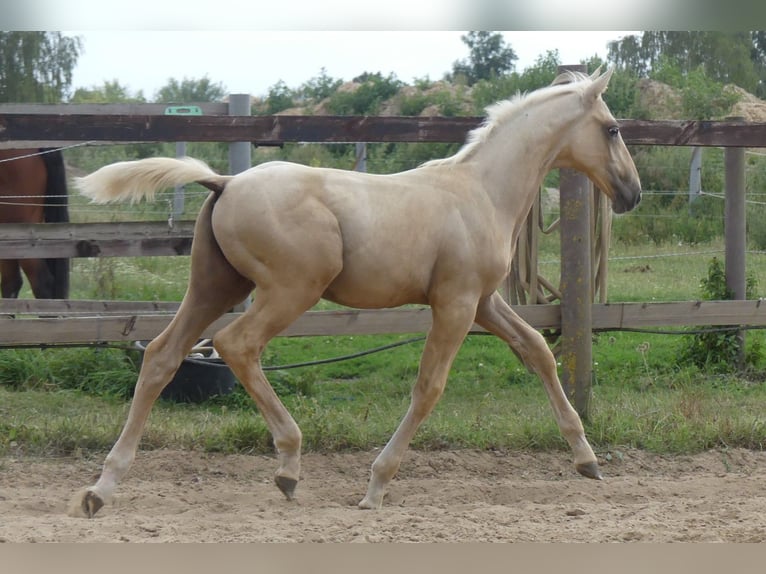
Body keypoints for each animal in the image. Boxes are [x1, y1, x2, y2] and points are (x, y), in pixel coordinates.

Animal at [69, 66, 640, 516]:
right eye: (612, 129)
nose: (632, 193)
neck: (480, 192)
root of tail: (225, 183)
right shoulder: (454, 304)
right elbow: (428, 388)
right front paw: (376, 486)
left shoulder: (484, 301)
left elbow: (538, 349)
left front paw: (587, 460)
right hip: (291, 290)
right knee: (237, 345)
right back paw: (288, 465)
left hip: (214, 287)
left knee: (162, 356)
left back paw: (101, 489)